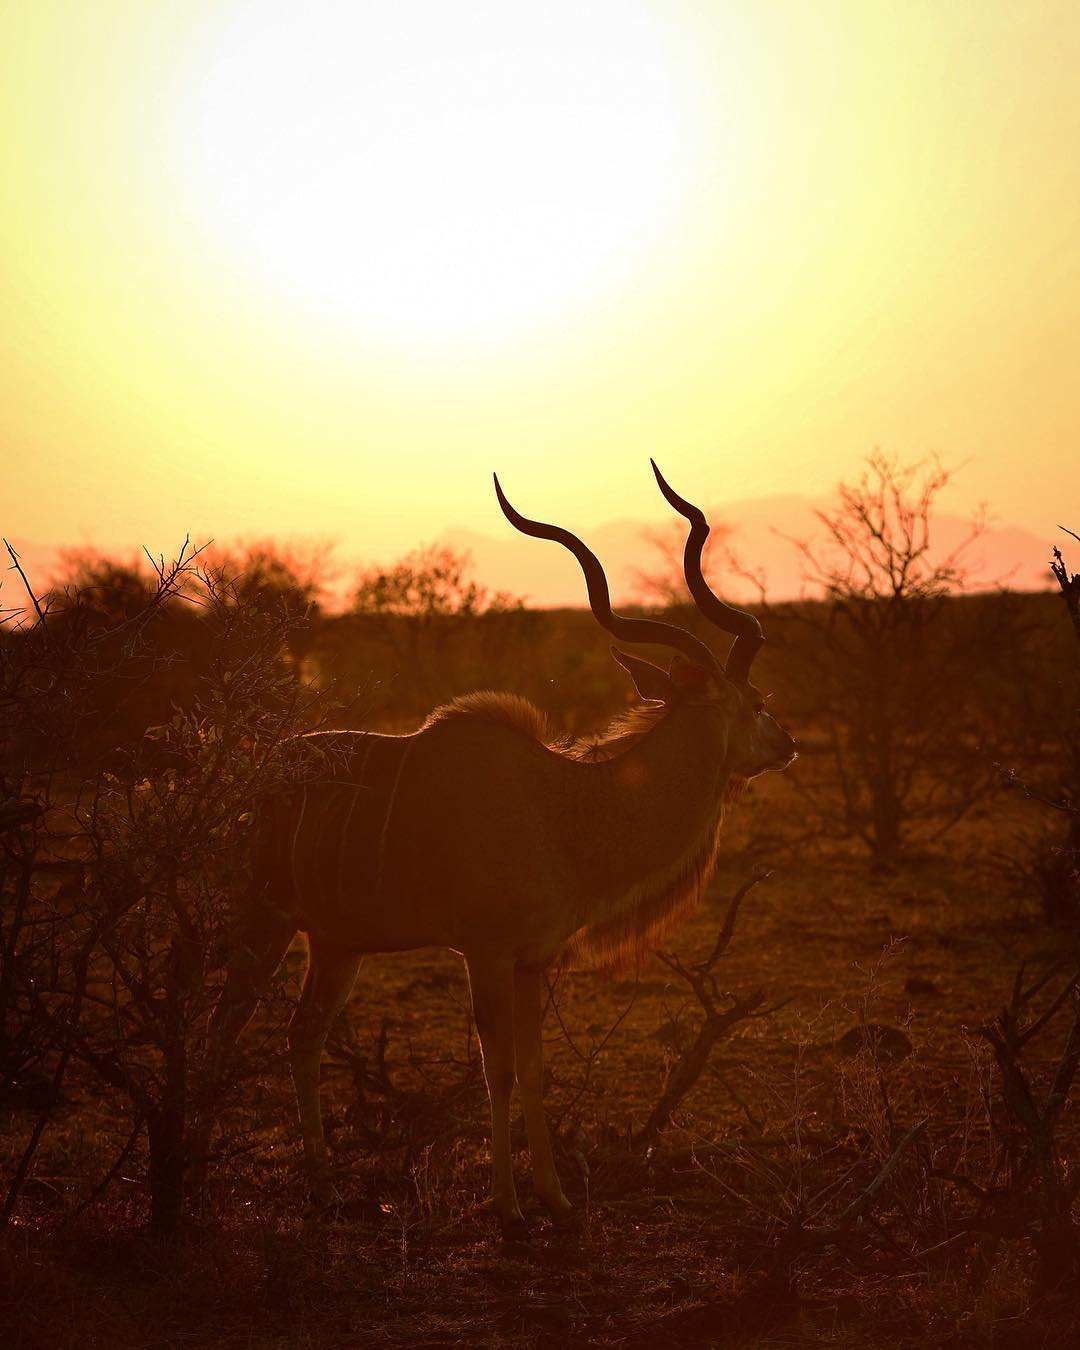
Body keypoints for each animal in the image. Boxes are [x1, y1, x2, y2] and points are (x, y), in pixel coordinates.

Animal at [198, 464, 799, 1236]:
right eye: (755, 702)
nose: (787, 745)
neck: (563, 806)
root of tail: (256, 780)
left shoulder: (533, 961)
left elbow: (535, 1069)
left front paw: (556, 1200)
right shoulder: (484, 954)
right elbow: (500, 1070)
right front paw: (510, 1209)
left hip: (336, 945)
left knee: (300, 1038)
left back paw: (325, 1191)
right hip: (264, 923)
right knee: (222, 1030)